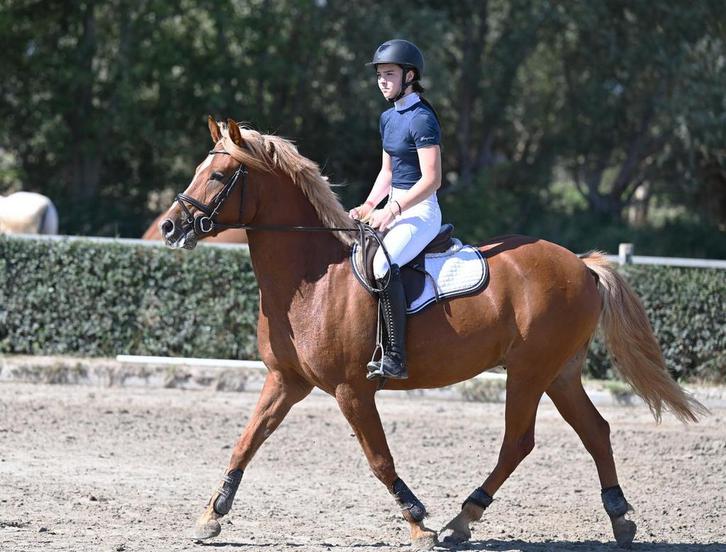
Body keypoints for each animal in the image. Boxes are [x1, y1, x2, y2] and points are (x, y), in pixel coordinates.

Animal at [159, 117, 706, 549]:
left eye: (220, 175)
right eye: (199, 171)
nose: (169, 227)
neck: (311, 279)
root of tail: (582, 265)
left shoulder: (351, 390)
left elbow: (379, 458)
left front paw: (418, 524)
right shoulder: (285, 380)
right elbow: (246, 440)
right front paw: (211, 515)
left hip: (529, 371)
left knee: (518, 441)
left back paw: (461, 521)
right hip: (560, 373)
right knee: (595, 430)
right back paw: (620, 519)